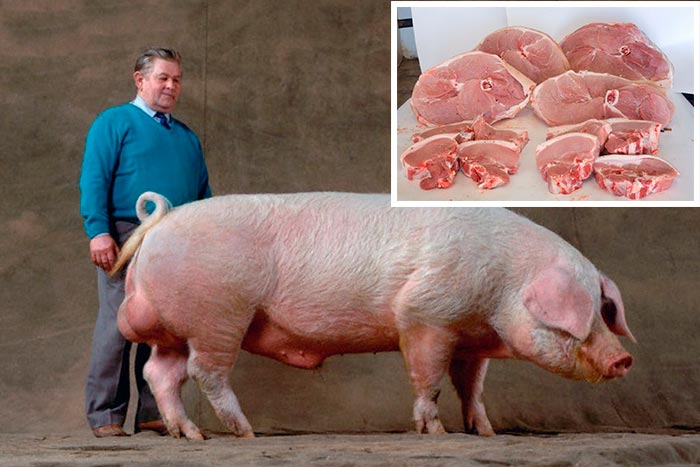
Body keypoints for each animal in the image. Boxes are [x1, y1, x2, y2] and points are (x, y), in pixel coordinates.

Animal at [112, 191, 635, 440]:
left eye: (607, 311)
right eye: (584, 316)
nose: (623, 359)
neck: (504, 282)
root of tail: (161, 221)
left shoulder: (470, 336)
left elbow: (472, 386)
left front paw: (483, 431)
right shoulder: (425, 313)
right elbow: (429, 378)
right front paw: (436, 432)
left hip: (178, 329)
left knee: (159, 373)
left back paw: (189, 435)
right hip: (218, 316)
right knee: (205, 372)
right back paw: (244, 432)